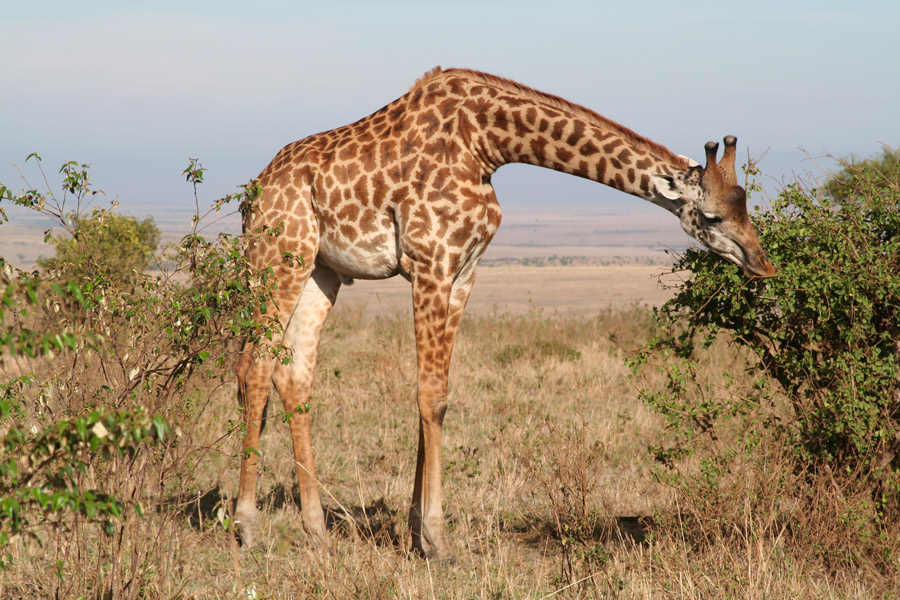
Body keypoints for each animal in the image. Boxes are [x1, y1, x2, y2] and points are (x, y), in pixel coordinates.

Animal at [232, 68, 772, 560]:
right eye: (712, 216)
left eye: (745, 204)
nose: (763, 265)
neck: (486, 144)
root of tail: (252, 194)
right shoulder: (430, 263)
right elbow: (430, 395)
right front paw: (437, 540)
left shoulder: (464, 271)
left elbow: (438, 396)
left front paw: (417, 533)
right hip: (279, 257)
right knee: (255, 366)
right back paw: (247, 528)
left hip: (321, 269)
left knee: (294, 372)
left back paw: (317, 533)